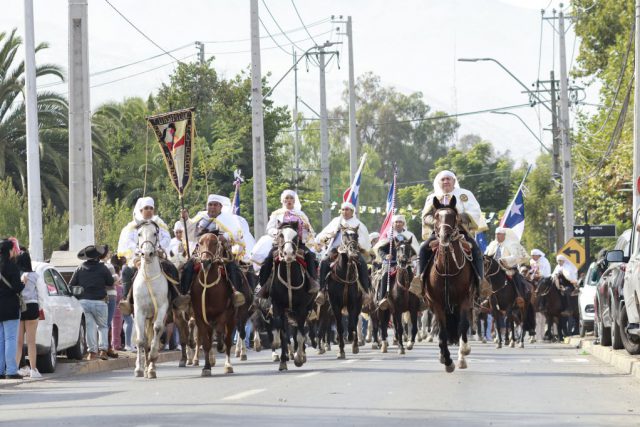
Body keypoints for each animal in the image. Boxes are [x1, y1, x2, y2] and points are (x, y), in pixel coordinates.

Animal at [190, 232, 236, 376]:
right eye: (200, 243)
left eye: (215, 243)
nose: (205, 261)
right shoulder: (199, 317)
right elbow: (205, 342)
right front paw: (206, 367)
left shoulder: (225, 313)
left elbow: (221, 332)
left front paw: (220, 346)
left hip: (232, 319)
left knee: (228, 339)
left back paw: (228, 364)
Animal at [270, 222, 313, 371]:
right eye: (281, 235)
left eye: (295, 236)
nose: (288, 254)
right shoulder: (278, 306)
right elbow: (282, 333)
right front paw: (282, 359)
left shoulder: (302, 308)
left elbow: (300, 335)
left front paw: (298, 359)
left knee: (300, 331)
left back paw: (301, 355)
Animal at [327, 225, 367, 359]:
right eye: (344, 235)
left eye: (356, 236)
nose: (354, 253)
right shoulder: (335, 305)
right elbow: (339, 327)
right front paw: (341, 351)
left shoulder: (353, 303)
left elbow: (351, 324)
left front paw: (351, 339)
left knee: (355, 321)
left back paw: (355, 344)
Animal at [422, 196, 473, 372]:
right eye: (437, 216)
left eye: (453, 216)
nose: (445, 236)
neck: (447, 270)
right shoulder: (437, 303)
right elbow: (442, 331)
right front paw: (447, 360)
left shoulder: (464, 299)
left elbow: (463, 325)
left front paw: (463, 354)